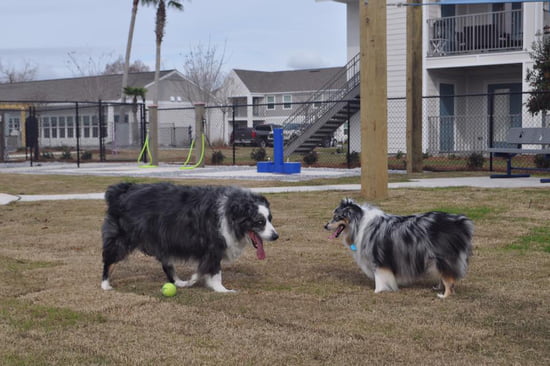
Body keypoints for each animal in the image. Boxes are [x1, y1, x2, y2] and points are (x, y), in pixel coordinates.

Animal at [100, 182, 280, 292]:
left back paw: (179, 282)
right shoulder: (213, 246)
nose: (276, 236)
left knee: (167, 264)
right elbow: (215, 271)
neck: (231, 212)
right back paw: (105, 284)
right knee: (109, 260)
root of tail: (120, 192)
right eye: (259, 221)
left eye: (270, 219)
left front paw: (197, 280)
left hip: (162, 239)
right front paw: (222, 289)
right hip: (122, 238)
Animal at [326, 199, 476, 298]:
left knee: (449, 279)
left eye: (337, 217)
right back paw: (439, 288)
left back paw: (444, 295)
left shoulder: (378, 258)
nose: (325, 226)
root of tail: (460, 222)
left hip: (442, 257)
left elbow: (379, 277)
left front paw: (378, 291)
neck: (359, 222)